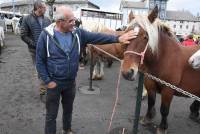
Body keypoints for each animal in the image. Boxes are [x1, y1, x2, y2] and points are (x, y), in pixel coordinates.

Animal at [121, 6, 200, 134]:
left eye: (146, 37)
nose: (127, 72)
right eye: (126, 34)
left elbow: (164, 109)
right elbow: (151, 102)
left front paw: (162, 127)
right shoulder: (150, 83)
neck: (163, 58)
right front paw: (148, 118)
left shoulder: (168, 89)